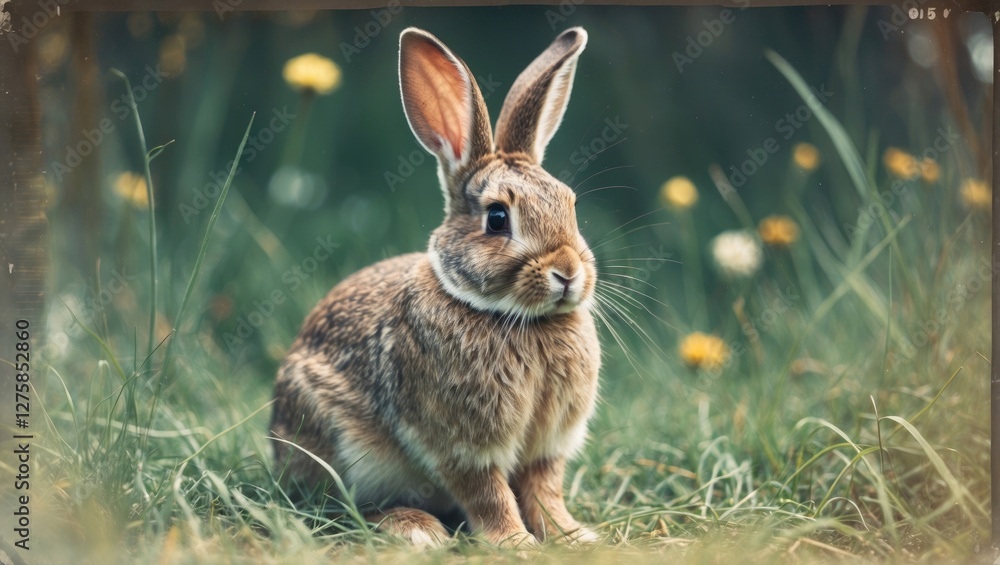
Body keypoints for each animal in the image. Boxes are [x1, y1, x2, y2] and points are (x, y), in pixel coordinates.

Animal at [271, 26, 600, 548]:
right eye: (497, 218)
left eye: (571, 204)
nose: (567, 272)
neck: (516, 318)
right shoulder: (463, 447)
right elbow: (489, 494)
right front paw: (515, 544)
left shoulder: (546, 448)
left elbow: (545, 491)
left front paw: (574, 536)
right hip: (334, 441)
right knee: (338, 508)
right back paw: (416, 530)